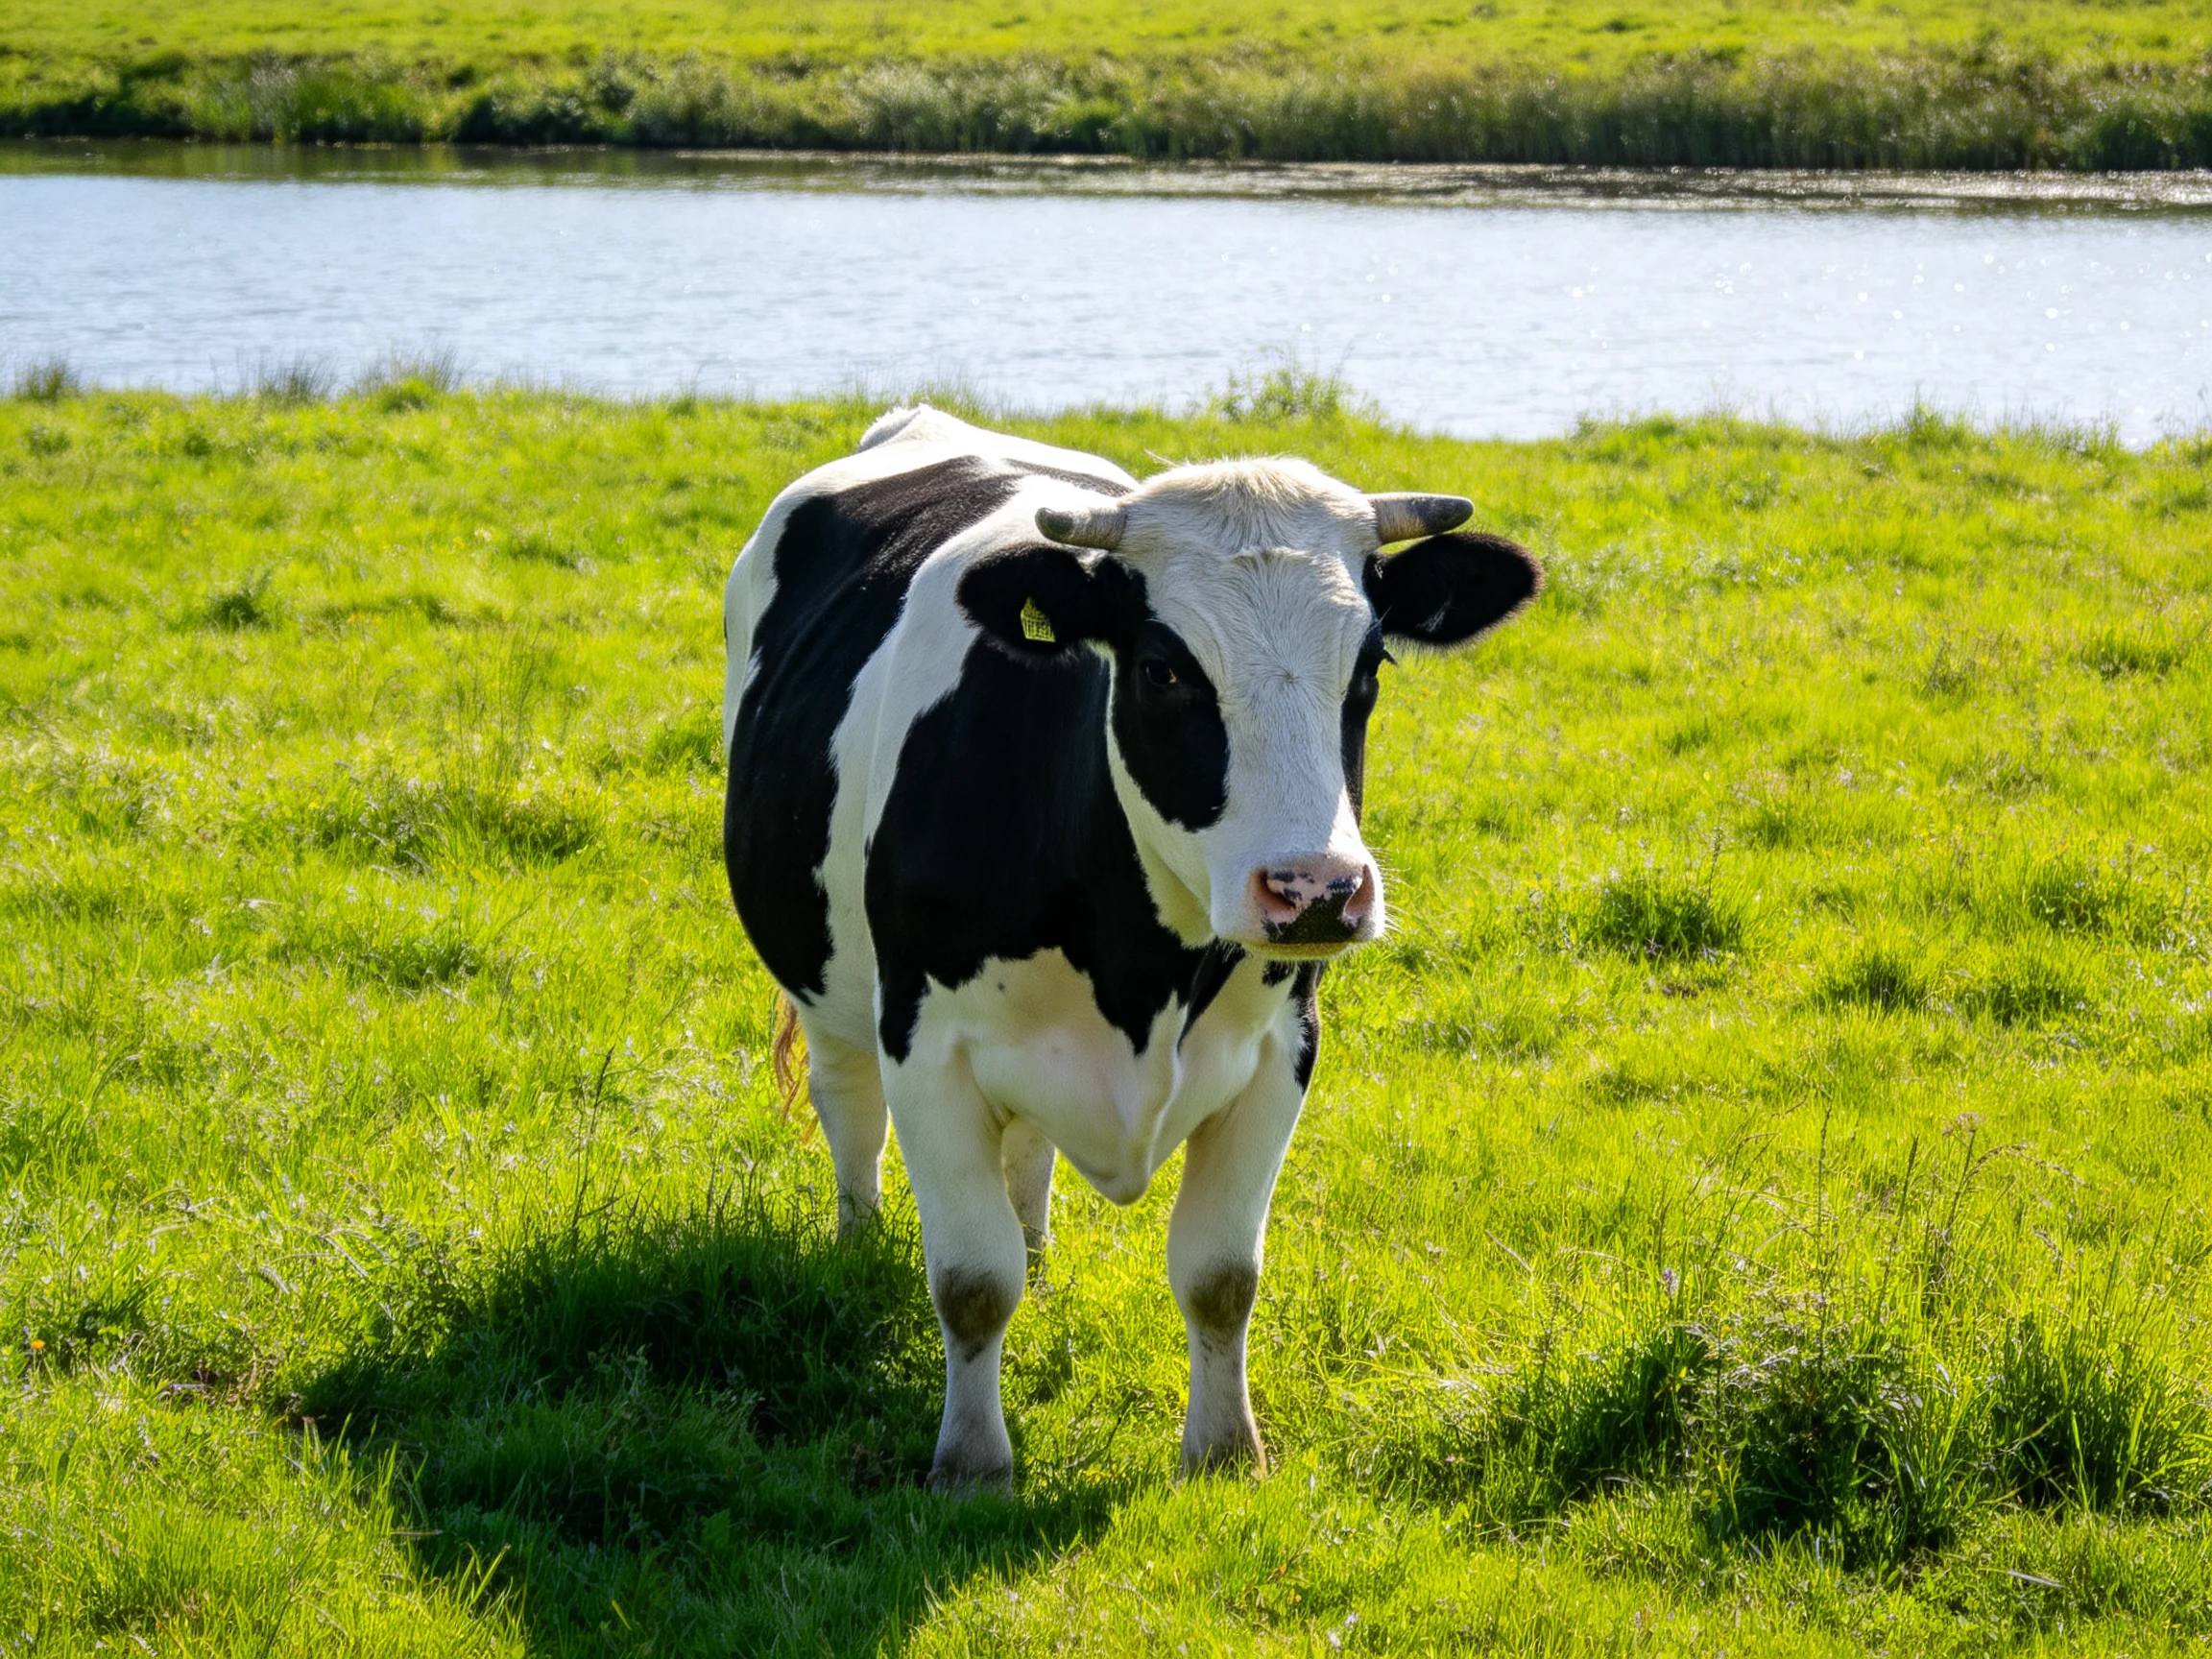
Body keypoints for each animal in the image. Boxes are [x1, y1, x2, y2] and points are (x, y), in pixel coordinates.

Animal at [722, 406, 1539, 1492]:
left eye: (1370, 668)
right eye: (1164, 669)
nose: (1316, 890)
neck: (1140, 968)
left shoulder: (1282, 1049)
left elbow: (1221, 1276)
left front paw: (1226, 1453)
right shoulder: (927, 1047)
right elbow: (970, 1282)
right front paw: (972, 1467)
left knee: (1025, 1159)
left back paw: (1040, 1258)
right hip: (824, 978)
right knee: (849, 1111)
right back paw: (859, 1249)